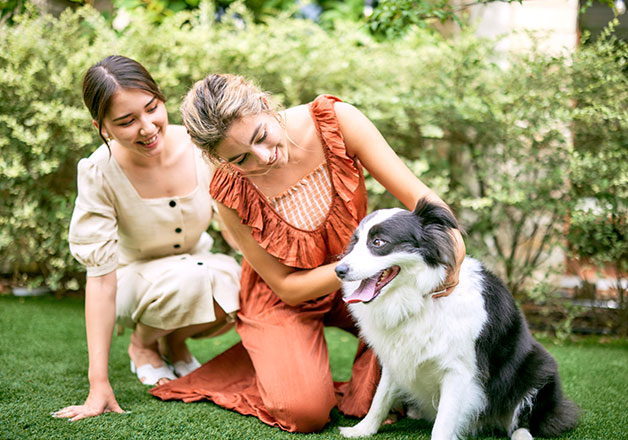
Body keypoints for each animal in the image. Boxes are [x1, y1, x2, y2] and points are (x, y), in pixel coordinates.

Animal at [336, 200, 576, 440]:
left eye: (378, 242)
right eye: (355, 242)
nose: (338, 270)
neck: (420, 297)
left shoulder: (458, 369)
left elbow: (444, 420)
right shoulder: (396, 356)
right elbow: (380, 398)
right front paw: (362, 430)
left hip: (539, 366)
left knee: (524, 421)